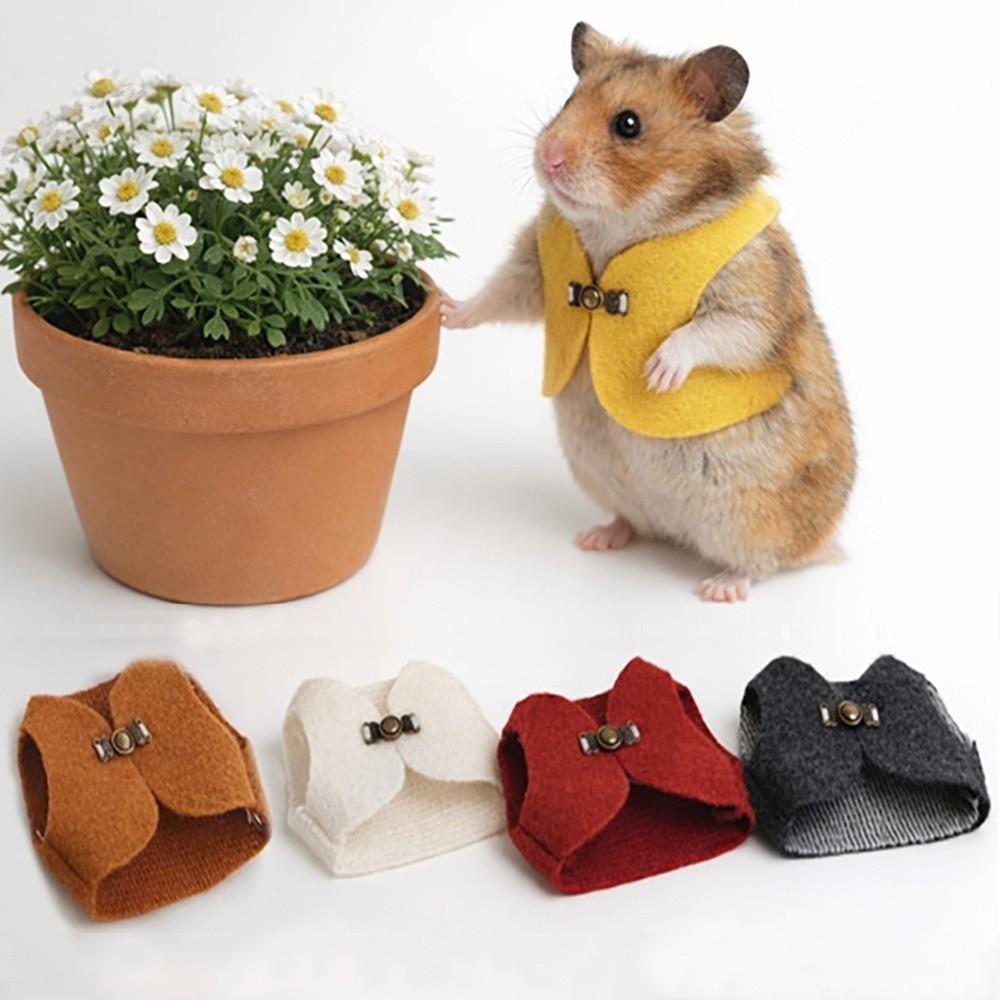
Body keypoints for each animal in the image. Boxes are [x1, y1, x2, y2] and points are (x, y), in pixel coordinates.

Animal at [441, 23, 855, 602]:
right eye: (568, 100)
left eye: (628, 125)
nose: (547, 158)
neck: (623, 221)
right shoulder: (536, 270)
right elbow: (498, 293)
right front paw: (446, 311)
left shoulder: (752, 295)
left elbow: (716, 331)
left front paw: (657, 375)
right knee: (637, 523)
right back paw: (598, 538)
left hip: (755, 518)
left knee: (764, 562)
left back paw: (720, 588)